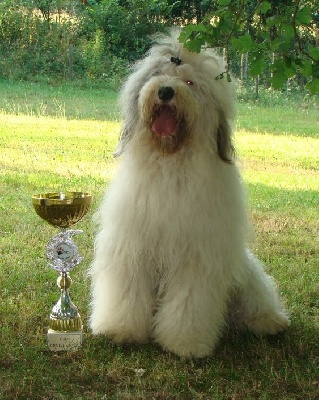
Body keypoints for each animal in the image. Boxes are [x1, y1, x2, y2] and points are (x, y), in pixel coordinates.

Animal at [89, 30, 290, 356]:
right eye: (157, 75)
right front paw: (120, 330)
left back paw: (269, 321)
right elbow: (127, 291)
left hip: (247, 276)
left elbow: (189, 302)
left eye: (190, 83)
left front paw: (185, 343)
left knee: (258, 299)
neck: (171, 161)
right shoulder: (132, 246)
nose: (165, 91)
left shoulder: (198, 257)